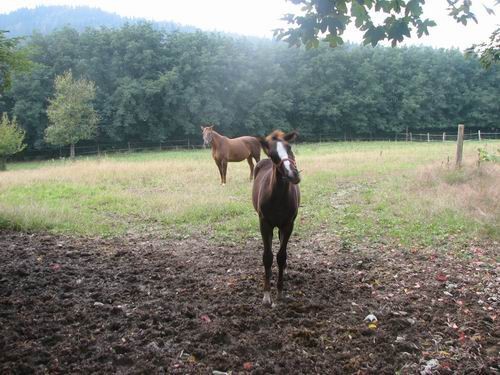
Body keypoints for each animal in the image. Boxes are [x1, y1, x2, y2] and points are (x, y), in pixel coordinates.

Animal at [254, 131, 300, 306]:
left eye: (290, 147)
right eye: (273, 155)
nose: (293, 174)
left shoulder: (288, 224)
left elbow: (281, 256)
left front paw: (280, 292)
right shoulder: (264, 224)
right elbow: (267, 257)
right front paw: (267, 295)